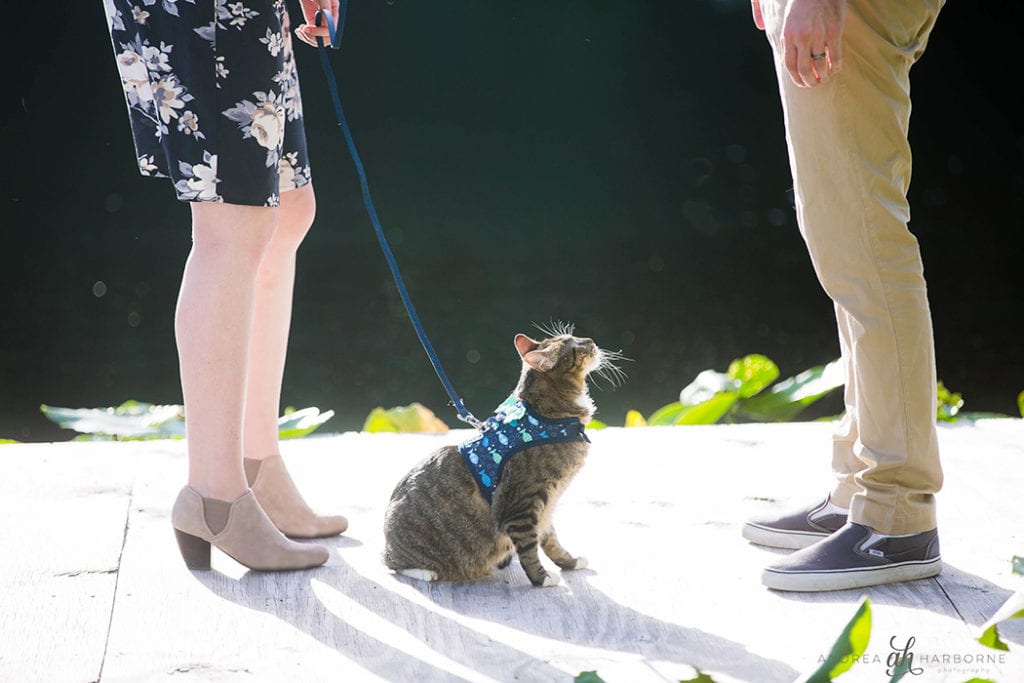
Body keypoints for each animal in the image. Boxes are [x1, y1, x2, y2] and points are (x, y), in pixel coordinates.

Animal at [385, 327, 622, 589]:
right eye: (574, 345)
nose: (590, 340)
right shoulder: (522, 506)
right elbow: (529, 549)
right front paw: (541, 578)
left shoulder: (547, 506)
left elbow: (551, 541)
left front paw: (570, 562)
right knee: (392, 564)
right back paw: (426, 572)